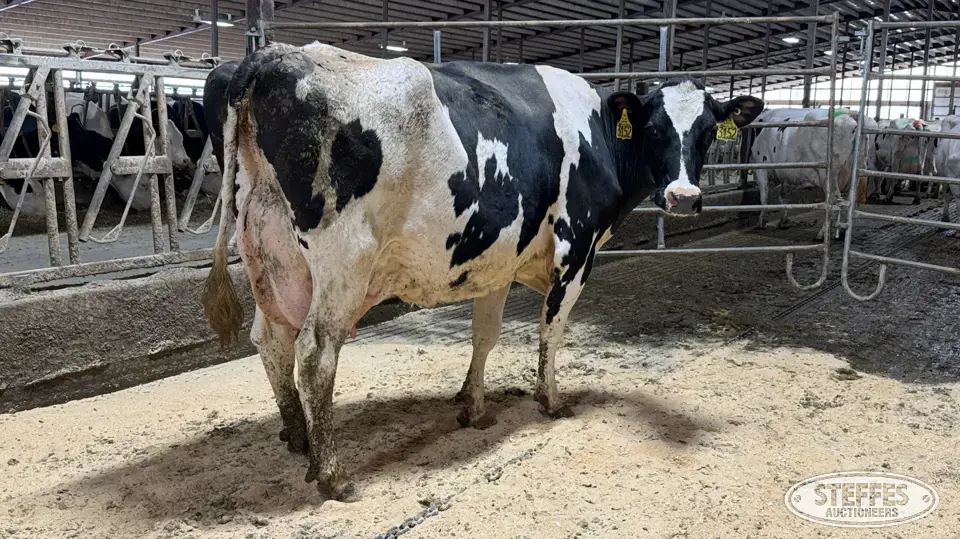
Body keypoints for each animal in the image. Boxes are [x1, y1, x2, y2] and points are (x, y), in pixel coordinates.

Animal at [200, 42, 763, 501]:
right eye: (653, 129)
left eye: (709, 131)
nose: (684, 197)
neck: (600, 133)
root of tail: (270, 55)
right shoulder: (576, 251)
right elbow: (550, 331)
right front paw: (550, 400)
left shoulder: (498, 260)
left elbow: (485, 336)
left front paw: (472, 406)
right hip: (342, 262)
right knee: (315, 353)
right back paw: (332, 474)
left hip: (267, 254)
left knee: (270, 340)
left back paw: (298, 438)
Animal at [749, 107, 873, 239]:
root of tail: (851, 113)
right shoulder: (786, 172)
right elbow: (784, 196)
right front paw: (783, 222)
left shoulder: (760, 165)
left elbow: (764, 196)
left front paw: (761, 222)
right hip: (857, 173)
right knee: (850, 200)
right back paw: (843, 231)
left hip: (828, 174)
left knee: (833, 199)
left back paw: (822, 234)